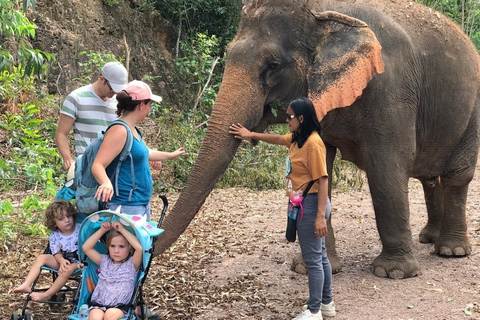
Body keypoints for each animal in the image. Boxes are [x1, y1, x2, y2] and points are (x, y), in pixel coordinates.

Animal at [155, 0, 480, 278]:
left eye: (272, 66)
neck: (323, 11)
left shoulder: (391, 88)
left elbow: (386, 168)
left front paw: (393, 272)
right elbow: (321, 167)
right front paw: (310, 267)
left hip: (473, 111)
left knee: (456, 178)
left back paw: (451, 251)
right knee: (429, 178)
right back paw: (429, 239)